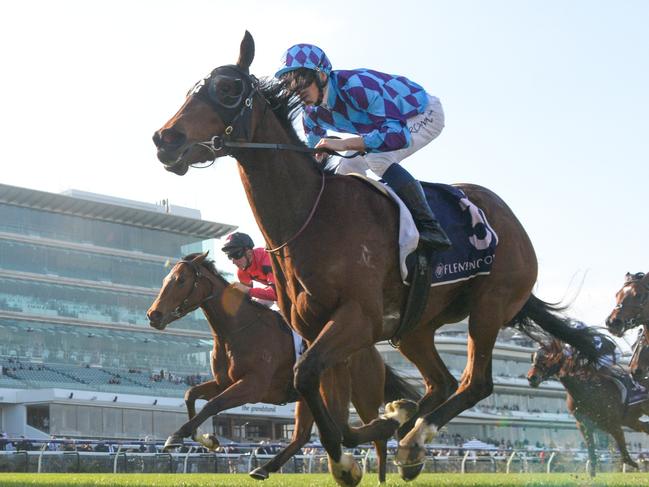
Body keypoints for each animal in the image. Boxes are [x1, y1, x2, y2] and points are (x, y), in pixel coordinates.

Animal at [146, 254, 420, 482]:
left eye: (181, 280)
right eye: (166, 279)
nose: (153, 315)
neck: (236, 330)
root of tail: (371, 350)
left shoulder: (253, 386)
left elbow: (213, 404)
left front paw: (179, 436)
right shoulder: (225, 382)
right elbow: (190, 394)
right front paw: (204, 439)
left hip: (363, 394)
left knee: (375, 437)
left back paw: (383, 470)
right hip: (307, 396)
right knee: (301, 437)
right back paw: (264, 468)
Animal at [528, 340, 648, 476]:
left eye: (547, 357)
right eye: (533, 358)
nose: (531, 377)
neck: (584, 388)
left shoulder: (613, 424)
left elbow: (623, 450)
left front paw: (636, 464)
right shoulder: (584, 425)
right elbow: (592, 452)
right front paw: (591, 475)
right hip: (630, 419)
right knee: (645, 427)